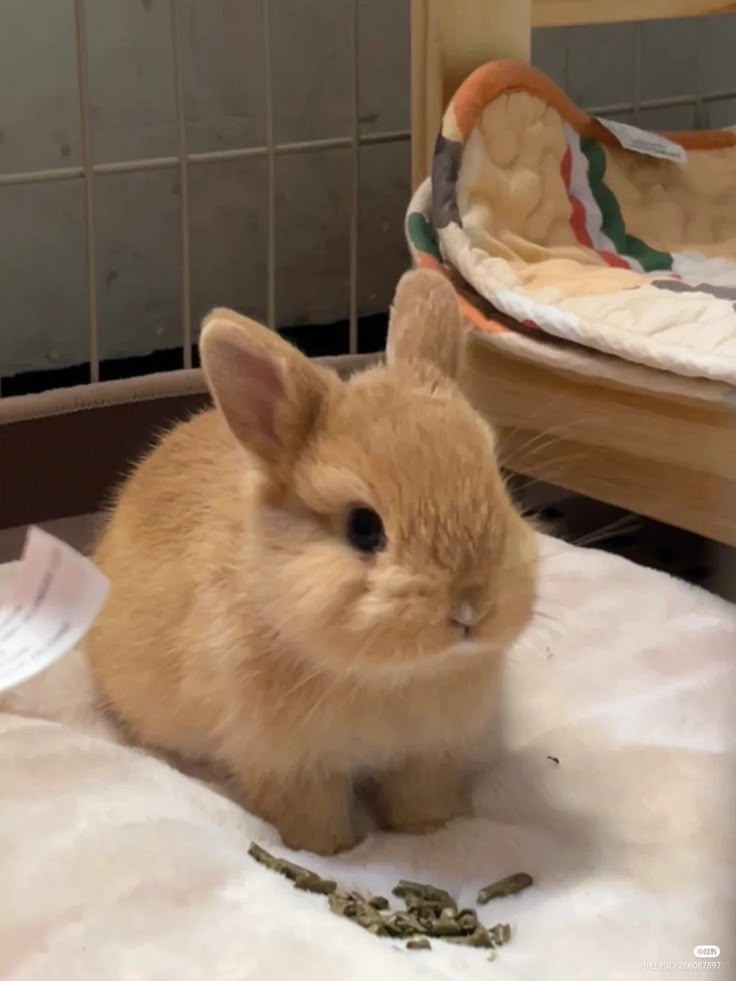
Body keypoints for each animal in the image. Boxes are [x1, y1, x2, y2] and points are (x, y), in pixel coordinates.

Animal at [86, 266, 536, 848]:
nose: (470, 610)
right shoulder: (291, 766)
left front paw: (432, 830)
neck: (395, 674)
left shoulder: (431, 753)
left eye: (498, 485)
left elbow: (420, 796)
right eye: (364, 528)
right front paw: (335, 851)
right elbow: (313, 817)